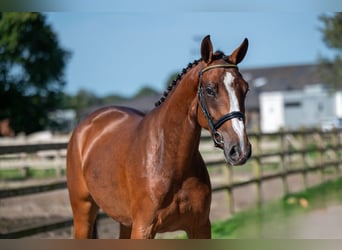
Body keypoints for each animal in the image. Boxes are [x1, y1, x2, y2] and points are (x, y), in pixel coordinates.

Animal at [67, 35, 252, 238]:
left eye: (245, 89)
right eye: (210, 89)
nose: (240, 149)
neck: (169, 161)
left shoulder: (200, 227)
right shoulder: (143, 229)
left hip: (125, 222)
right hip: (83, 212)